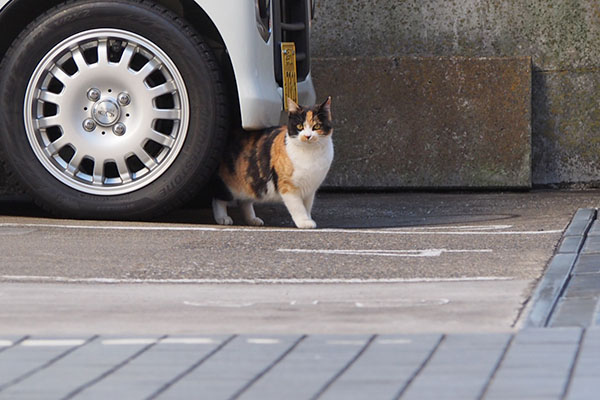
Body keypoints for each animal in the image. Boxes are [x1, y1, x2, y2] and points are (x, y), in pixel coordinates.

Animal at [211, 96, 332, 228]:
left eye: (317, 126)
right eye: (300, 127)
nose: (307, 136)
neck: (309, 153)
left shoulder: (310, 190)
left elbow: (307, 207)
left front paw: (308, 219)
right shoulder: (288, 186)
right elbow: (298, 207)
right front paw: (304, 222)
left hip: (250, 179)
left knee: (245, 201)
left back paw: (252, 220)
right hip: (228, 183)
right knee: (218, 198)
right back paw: (222, 218)